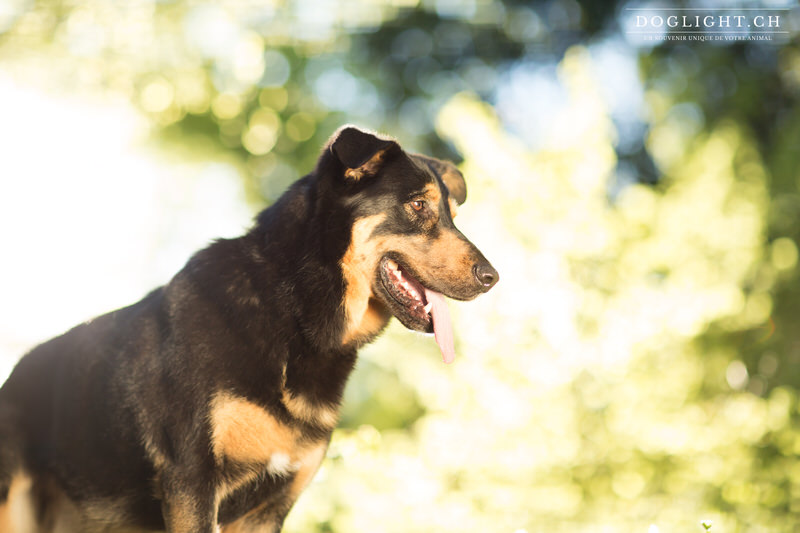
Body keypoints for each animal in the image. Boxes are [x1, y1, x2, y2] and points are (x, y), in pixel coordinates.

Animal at [0, 125, 496, 532]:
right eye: (417, 205)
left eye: (453, 217)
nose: (492, 277)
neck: (291, 308)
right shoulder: (192, 487)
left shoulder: (267, 510)